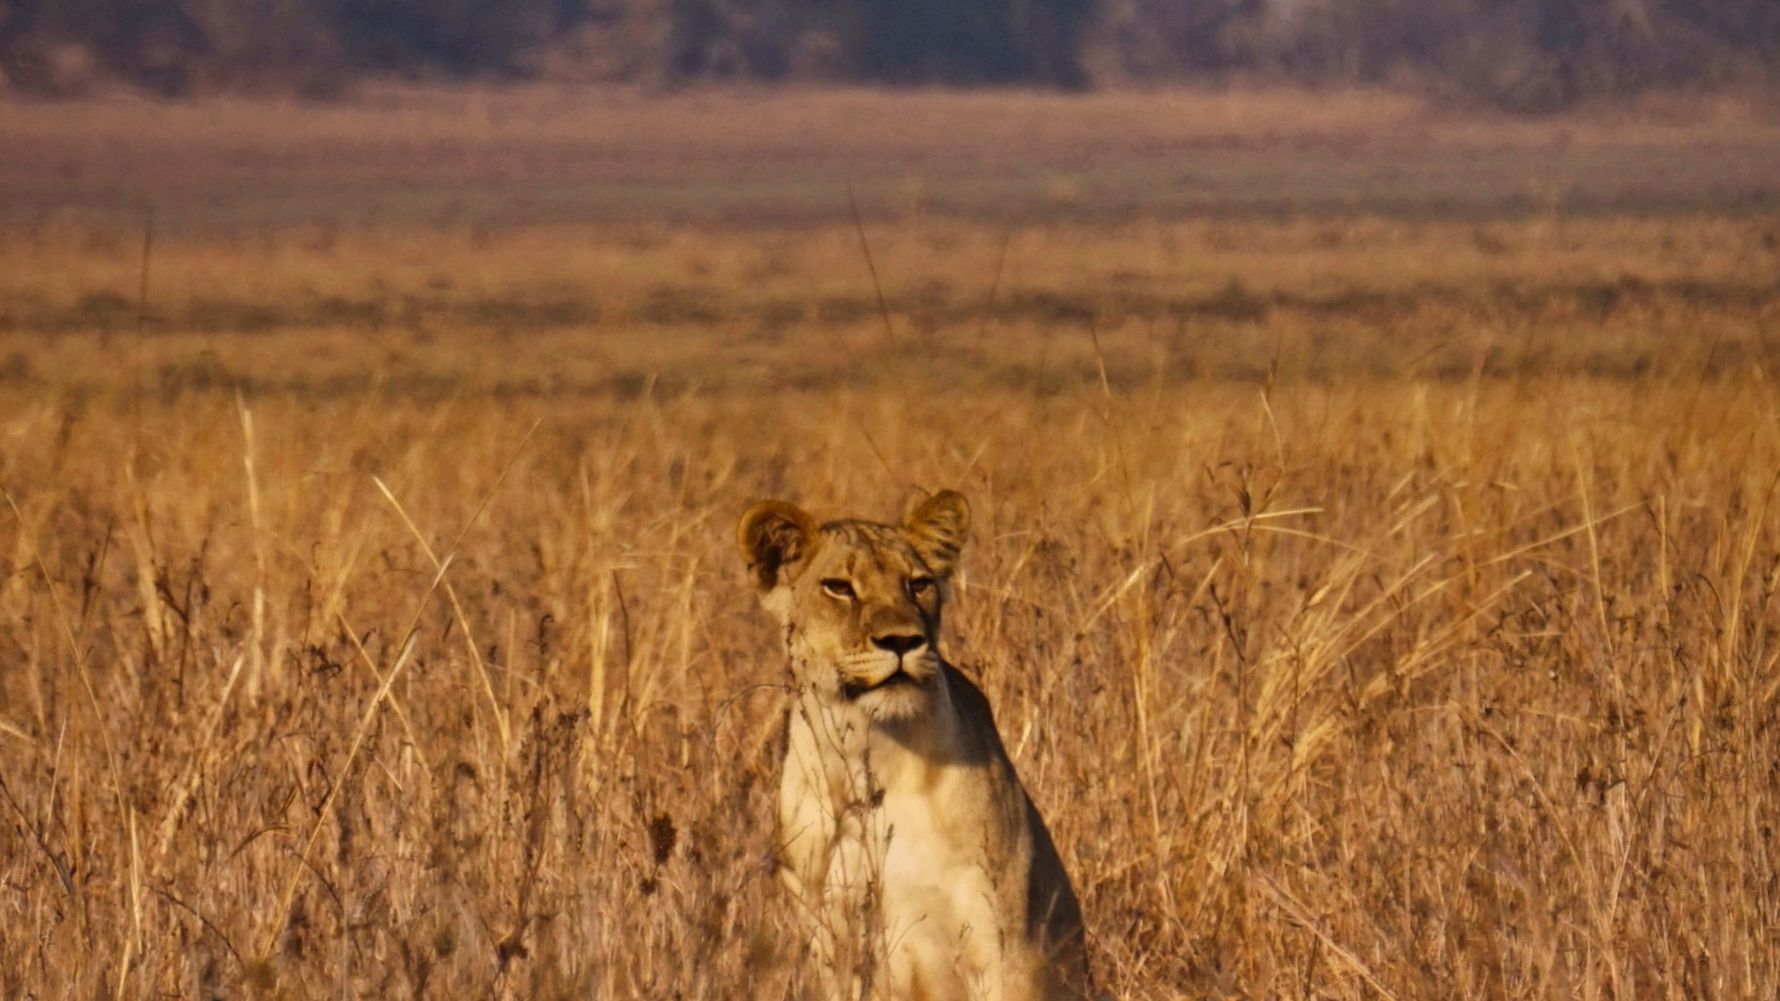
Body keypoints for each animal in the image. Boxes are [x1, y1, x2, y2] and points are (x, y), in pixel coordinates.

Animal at [737, 490, 1090, 1001]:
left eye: (918, 584)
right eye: (839, 587)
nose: (903, 641)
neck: (869, 757)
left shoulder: (1006, 940)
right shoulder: (832, 936)